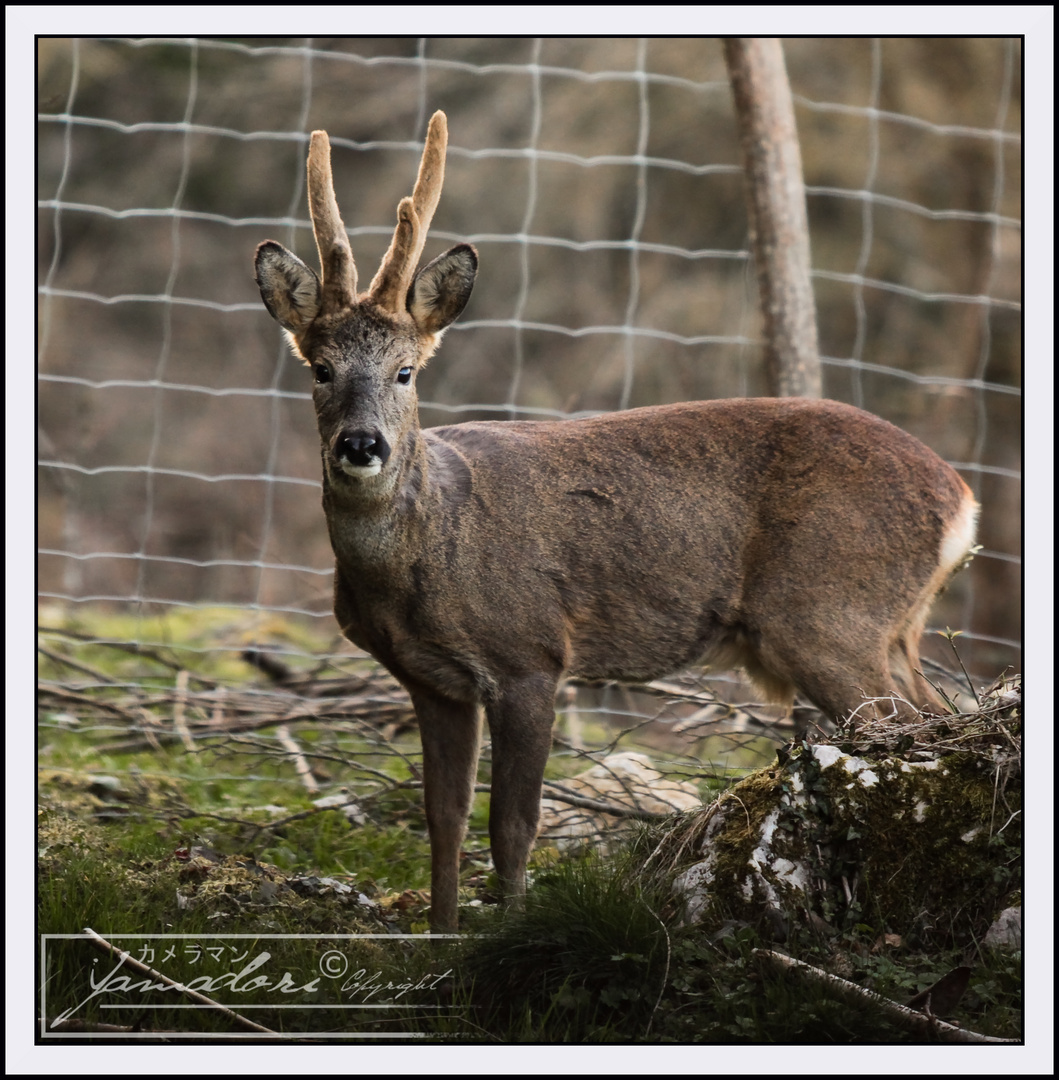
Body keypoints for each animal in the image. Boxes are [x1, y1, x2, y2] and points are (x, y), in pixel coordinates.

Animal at [253, 111, 975, 937]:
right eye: (320, 368)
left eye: (405, 371)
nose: (361, 445)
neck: (427, 553)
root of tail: (960, 498)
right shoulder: (433, 682)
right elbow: (443, 821)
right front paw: (438, 939)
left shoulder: (529, 654)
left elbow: (513, 824)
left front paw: (505, 936)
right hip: (890, 626)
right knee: (941, 716)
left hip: (827, 614)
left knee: (904, 728)